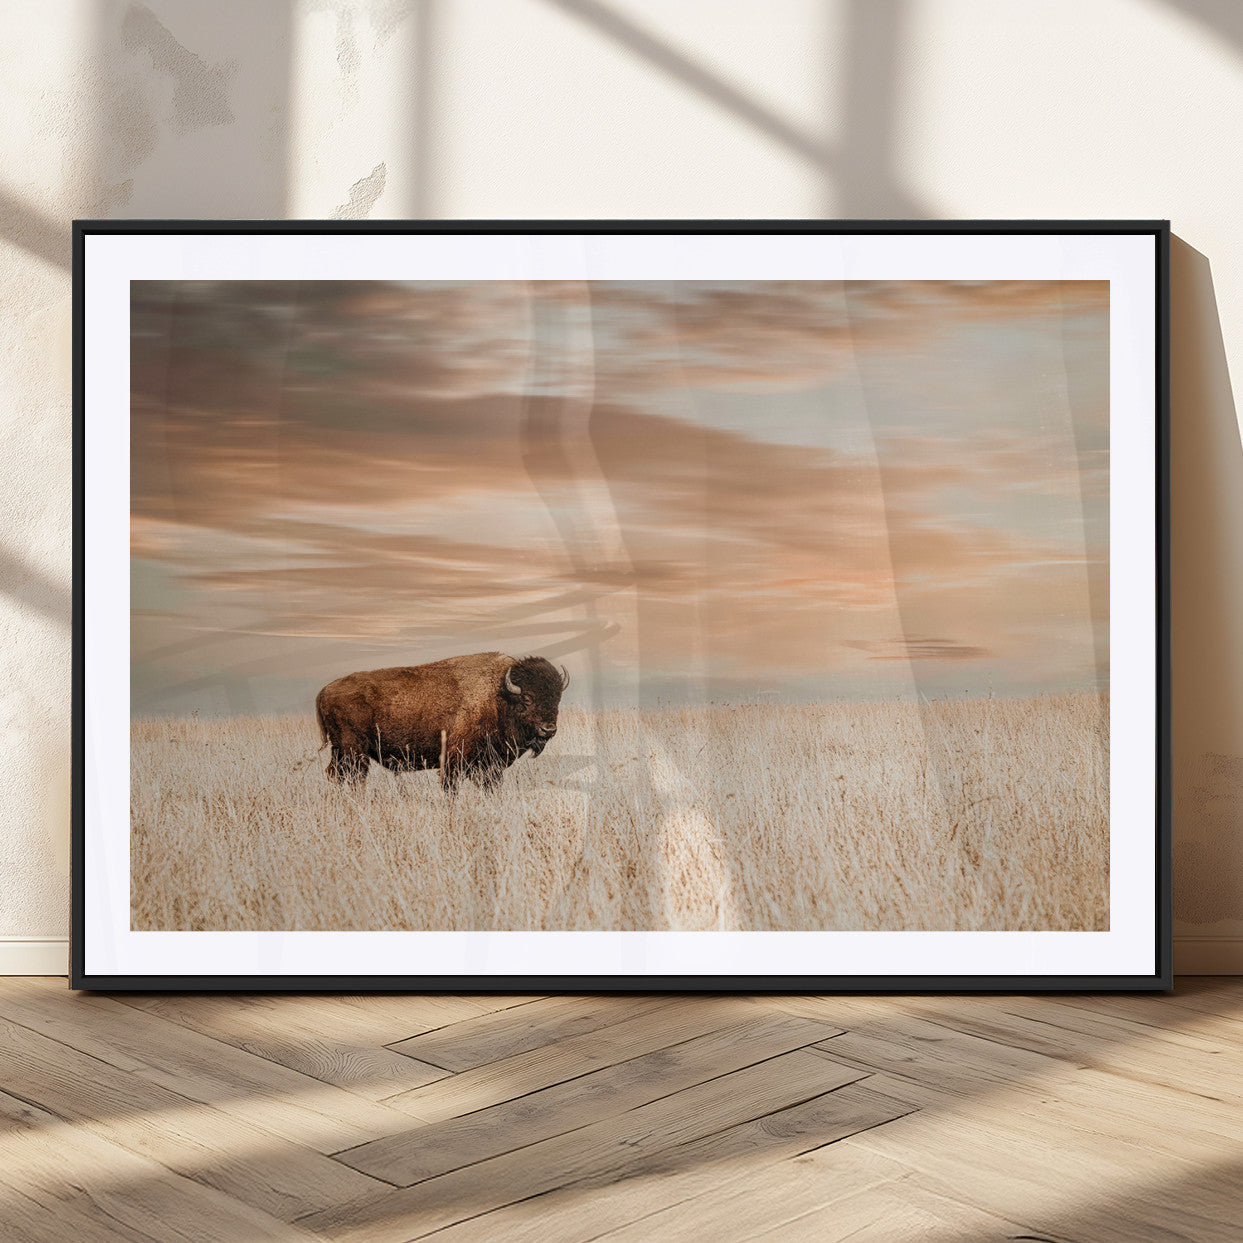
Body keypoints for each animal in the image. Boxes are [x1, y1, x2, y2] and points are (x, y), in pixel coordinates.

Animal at [315, 651, 568, 793]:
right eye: (527, 698)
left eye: (557, 697)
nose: (548, 729)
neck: (498, 696)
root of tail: (325, 690)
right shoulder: (455, 760)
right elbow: (450, 788)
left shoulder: (489, 766)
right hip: (353, 752)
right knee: (354, 777)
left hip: (341, 752)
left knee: (336, 775)